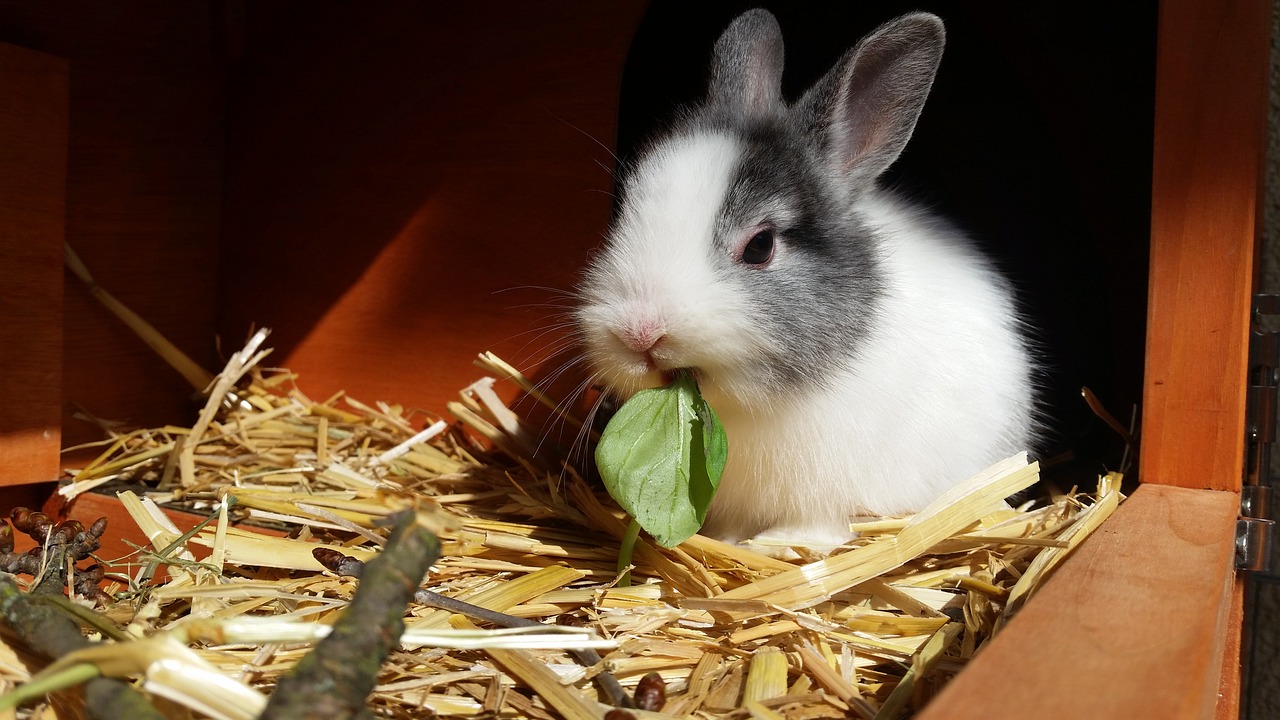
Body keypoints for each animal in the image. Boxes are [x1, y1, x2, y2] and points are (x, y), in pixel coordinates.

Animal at [576, 9, 1034, 548]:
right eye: (625, 212)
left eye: (760, 246)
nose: (639, 333)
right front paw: (727, 541)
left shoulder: (830, 492)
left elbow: (820, 525)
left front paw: (775, 543)